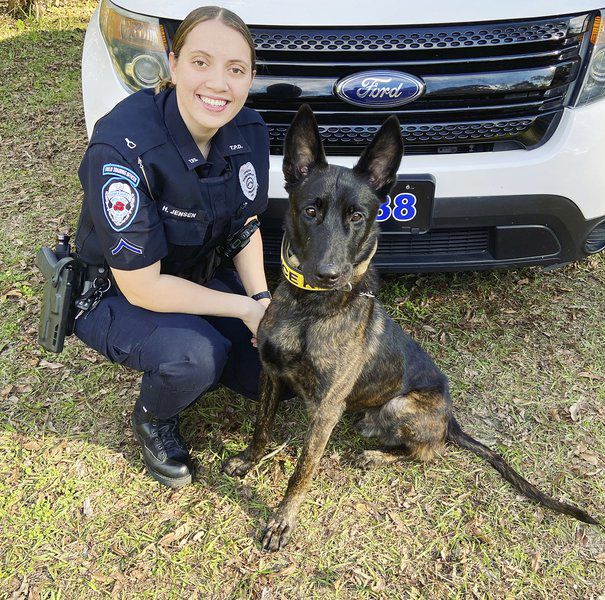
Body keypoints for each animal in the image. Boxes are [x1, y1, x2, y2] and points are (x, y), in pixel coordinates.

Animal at [223, 105, 600, 552]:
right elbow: (261, 427)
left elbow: (302, 471)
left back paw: (378, 454)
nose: (330, 275)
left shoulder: (325, 409)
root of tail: (451, 419)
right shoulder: (270, 374)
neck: (308, 309)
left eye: (357, 216)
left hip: (400, 406)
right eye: (310, 211)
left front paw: (283, 521)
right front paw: (249, 460)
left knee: (428, 452)